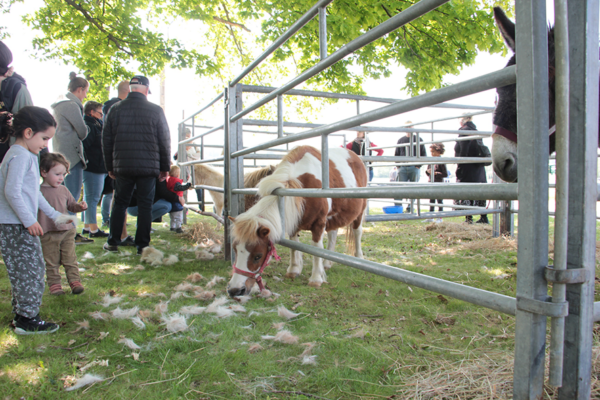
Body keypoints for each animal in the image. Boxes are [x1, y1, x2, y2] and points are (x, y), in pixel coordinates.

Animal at [225, 145, 366, 296]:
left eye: (258, 256)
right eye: (235, 249)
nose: (235, 290)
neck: (302, 187)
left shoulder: (319, 224)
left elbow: (316, 248)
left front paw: (316, 278)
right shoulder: (294, 224)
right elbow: (294, 246)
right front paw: (293, 270)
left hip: (359, 212)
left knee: (357, 232)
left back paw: (359, 258)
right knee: (333, 234)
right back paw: (327, 263)